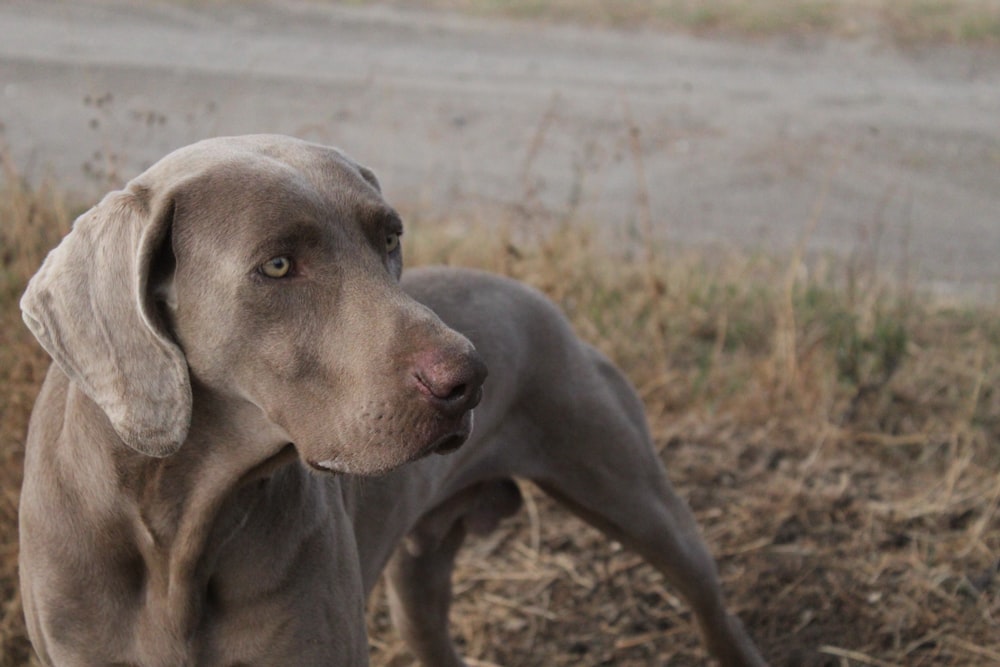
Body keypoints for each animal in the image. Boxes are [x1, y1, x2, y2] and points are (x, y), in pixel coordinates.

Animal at [19, 134, 764, 667]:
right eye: (278, 265)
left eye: (390, 237)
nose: (471, 379)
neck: (176, 520)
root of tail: (542, 301)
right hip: (420, 581)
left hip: (633, 493)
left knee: (709, 599)